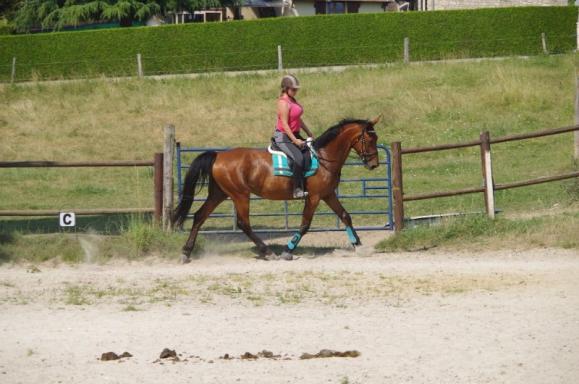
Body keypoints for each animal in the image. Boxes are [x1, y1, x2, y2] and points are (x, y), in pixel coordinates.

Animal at [171, 115, 380, 262]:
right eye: (370, 140)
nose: (374, 164)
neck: (324, 157)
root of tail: (218, 155)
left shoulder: (327, 194)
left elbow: (345, 216)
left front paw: (359, 246)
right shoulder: (313, 197)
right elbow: (305, 224)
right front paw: (288, 251)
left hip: (219, 193)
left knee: (199, 216)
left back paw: (186, 252)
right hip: (240, 195)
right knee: (243, 223)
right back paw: (268, 252)